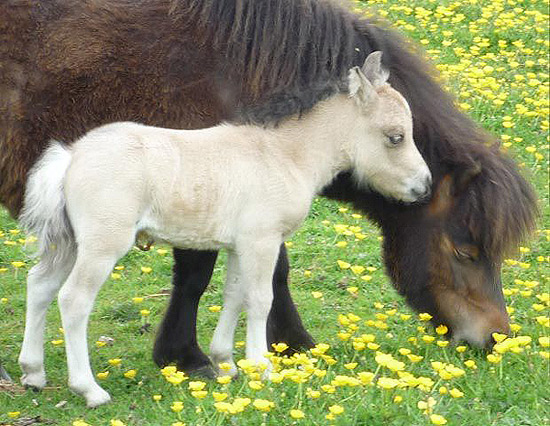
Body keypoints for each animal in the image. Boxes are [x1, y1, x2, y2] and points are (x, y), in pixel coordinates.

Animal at [0, 0, 536, 380]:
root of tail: (68, 158)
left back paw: (34, 372)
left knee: (41, 287)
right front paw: (205, 356)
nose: (496, 339)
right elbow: (231, 279)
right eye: (465, 251)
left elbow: (241, 287)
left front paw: (232, 355)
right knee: (72, 300)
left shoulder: (236, 227)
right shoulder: (229, 218)